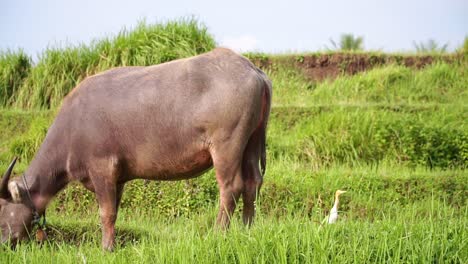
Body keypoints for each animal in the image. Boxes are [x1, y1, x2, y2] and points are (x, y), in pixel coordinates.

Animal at [0, 48, 270, 250]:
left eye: (2, 210)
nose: (4, 243)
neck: (72, 128)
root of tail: (252, 70)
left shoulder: (102, 168)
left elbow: (106, 212)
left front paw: (106, 248)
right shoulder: (118, 178)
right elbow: (115, 211)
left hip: (227, 145)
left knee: (230, 187)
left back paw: (218, 233)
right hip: (252, 140)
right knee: (252, 182)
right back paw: (248, 228)